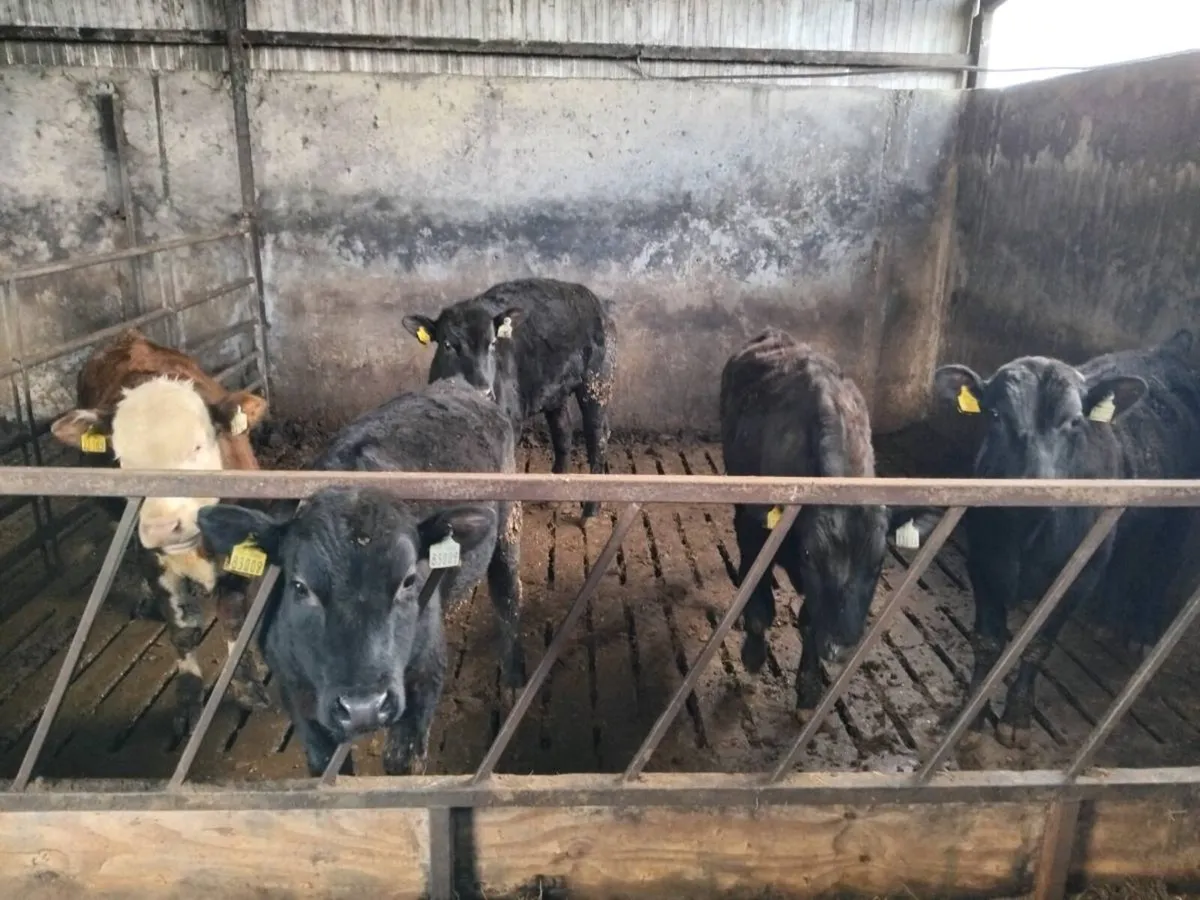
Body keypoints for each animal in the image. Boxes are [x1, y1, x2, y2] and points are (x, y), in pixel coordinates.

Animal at [50, 328, 271, 737]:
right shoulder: (154, 561)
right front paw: (188, 700)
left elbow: (234, 623)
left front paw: (249, 688)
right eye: (121, 460)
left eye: (198, 446)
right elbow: (182, 629)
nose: (161, 528)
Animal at [196, 374, 524, 776]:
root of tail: (459, 384)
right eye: (299, 586)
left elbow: (401, 763)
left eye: (408, 581)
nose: (364, 705)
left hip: (508, 525)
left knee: (507, 595)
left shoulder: (425, 675)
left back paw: (514, 681)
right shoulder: (297, 695)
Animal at [402, 278, 616, 519]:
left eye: (493, 343)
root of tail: (591, 297)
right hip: (555, 388)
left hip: (598, 379)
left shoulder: (511, 424)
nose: (482, 392)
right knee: (563, 429)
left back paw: (590, 511)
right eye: (447, 345)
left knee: (597, 434)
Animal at [721, 329, 939, 717]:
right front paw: (753, 656)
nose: (839, 648)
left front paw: (808, 688)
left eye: (879, 561)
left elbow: (810, 622)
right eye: (810, 556)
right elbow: (759, 608)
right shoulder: (754, 529)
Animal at [933, 329, 1200, 749]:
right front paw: (972, 715)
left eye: (1075, 421)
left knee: (1163, 566)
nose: (1036, 487)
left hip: (1180, 515)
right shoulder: (982, 562)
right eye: (996, 416)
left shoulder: (1077, 578)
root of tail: (1167, 348)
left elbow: (1038, 646)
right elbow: (988, 642)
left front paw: (1017, 718)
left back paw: (1143, 631)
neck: (1027, 537)